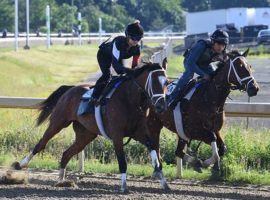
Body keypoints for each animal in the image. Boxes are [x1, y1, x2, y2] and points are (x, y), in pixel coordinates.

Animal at [13, 62, 169, 192]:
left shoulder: (140, 133)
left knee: (66, 154)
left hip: (85, 135)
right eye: (154, 82)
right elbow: (122, 162)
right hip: (58, 122)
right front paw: (124, 187)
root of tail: (70, 89)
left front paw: (163, 181)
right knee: (41, 143)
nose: (162, 106)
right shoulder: (117, 136)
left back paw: (61, 181)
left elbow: (154, 149)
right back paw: (20, 165)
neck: (130, 100)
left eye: (166, 82)